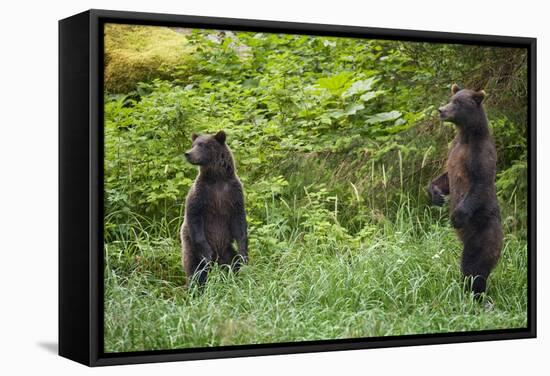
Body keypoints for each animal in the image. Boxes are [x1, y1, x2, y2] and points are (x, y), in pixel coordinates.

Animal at [181, 131, 250, 286]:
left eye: (202, 145)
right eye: (193, 145)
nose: (188, 153)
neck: (217, 178)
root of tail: (219, 258)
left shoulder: (233, 193)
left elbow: (239, 223)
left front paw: (244, 253)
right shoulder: (201, 194)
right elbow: (194, 217)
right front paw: (208, 253)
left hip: (227, 250)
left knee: (233, 263)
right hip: (191, 248)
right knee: (196, 271)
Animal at [432, 84, 504, 296]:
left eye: (457, 103)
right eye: (451, 99)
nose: (441, 110)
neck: (467, 135)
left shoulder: (480, 154)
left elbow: (480, 183)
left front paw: (456, 217)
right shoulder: (454, 149)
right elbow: (446, 175)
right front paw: (435, 193)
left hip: (483, 234)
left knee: (474, 267)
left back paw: (476, 294)